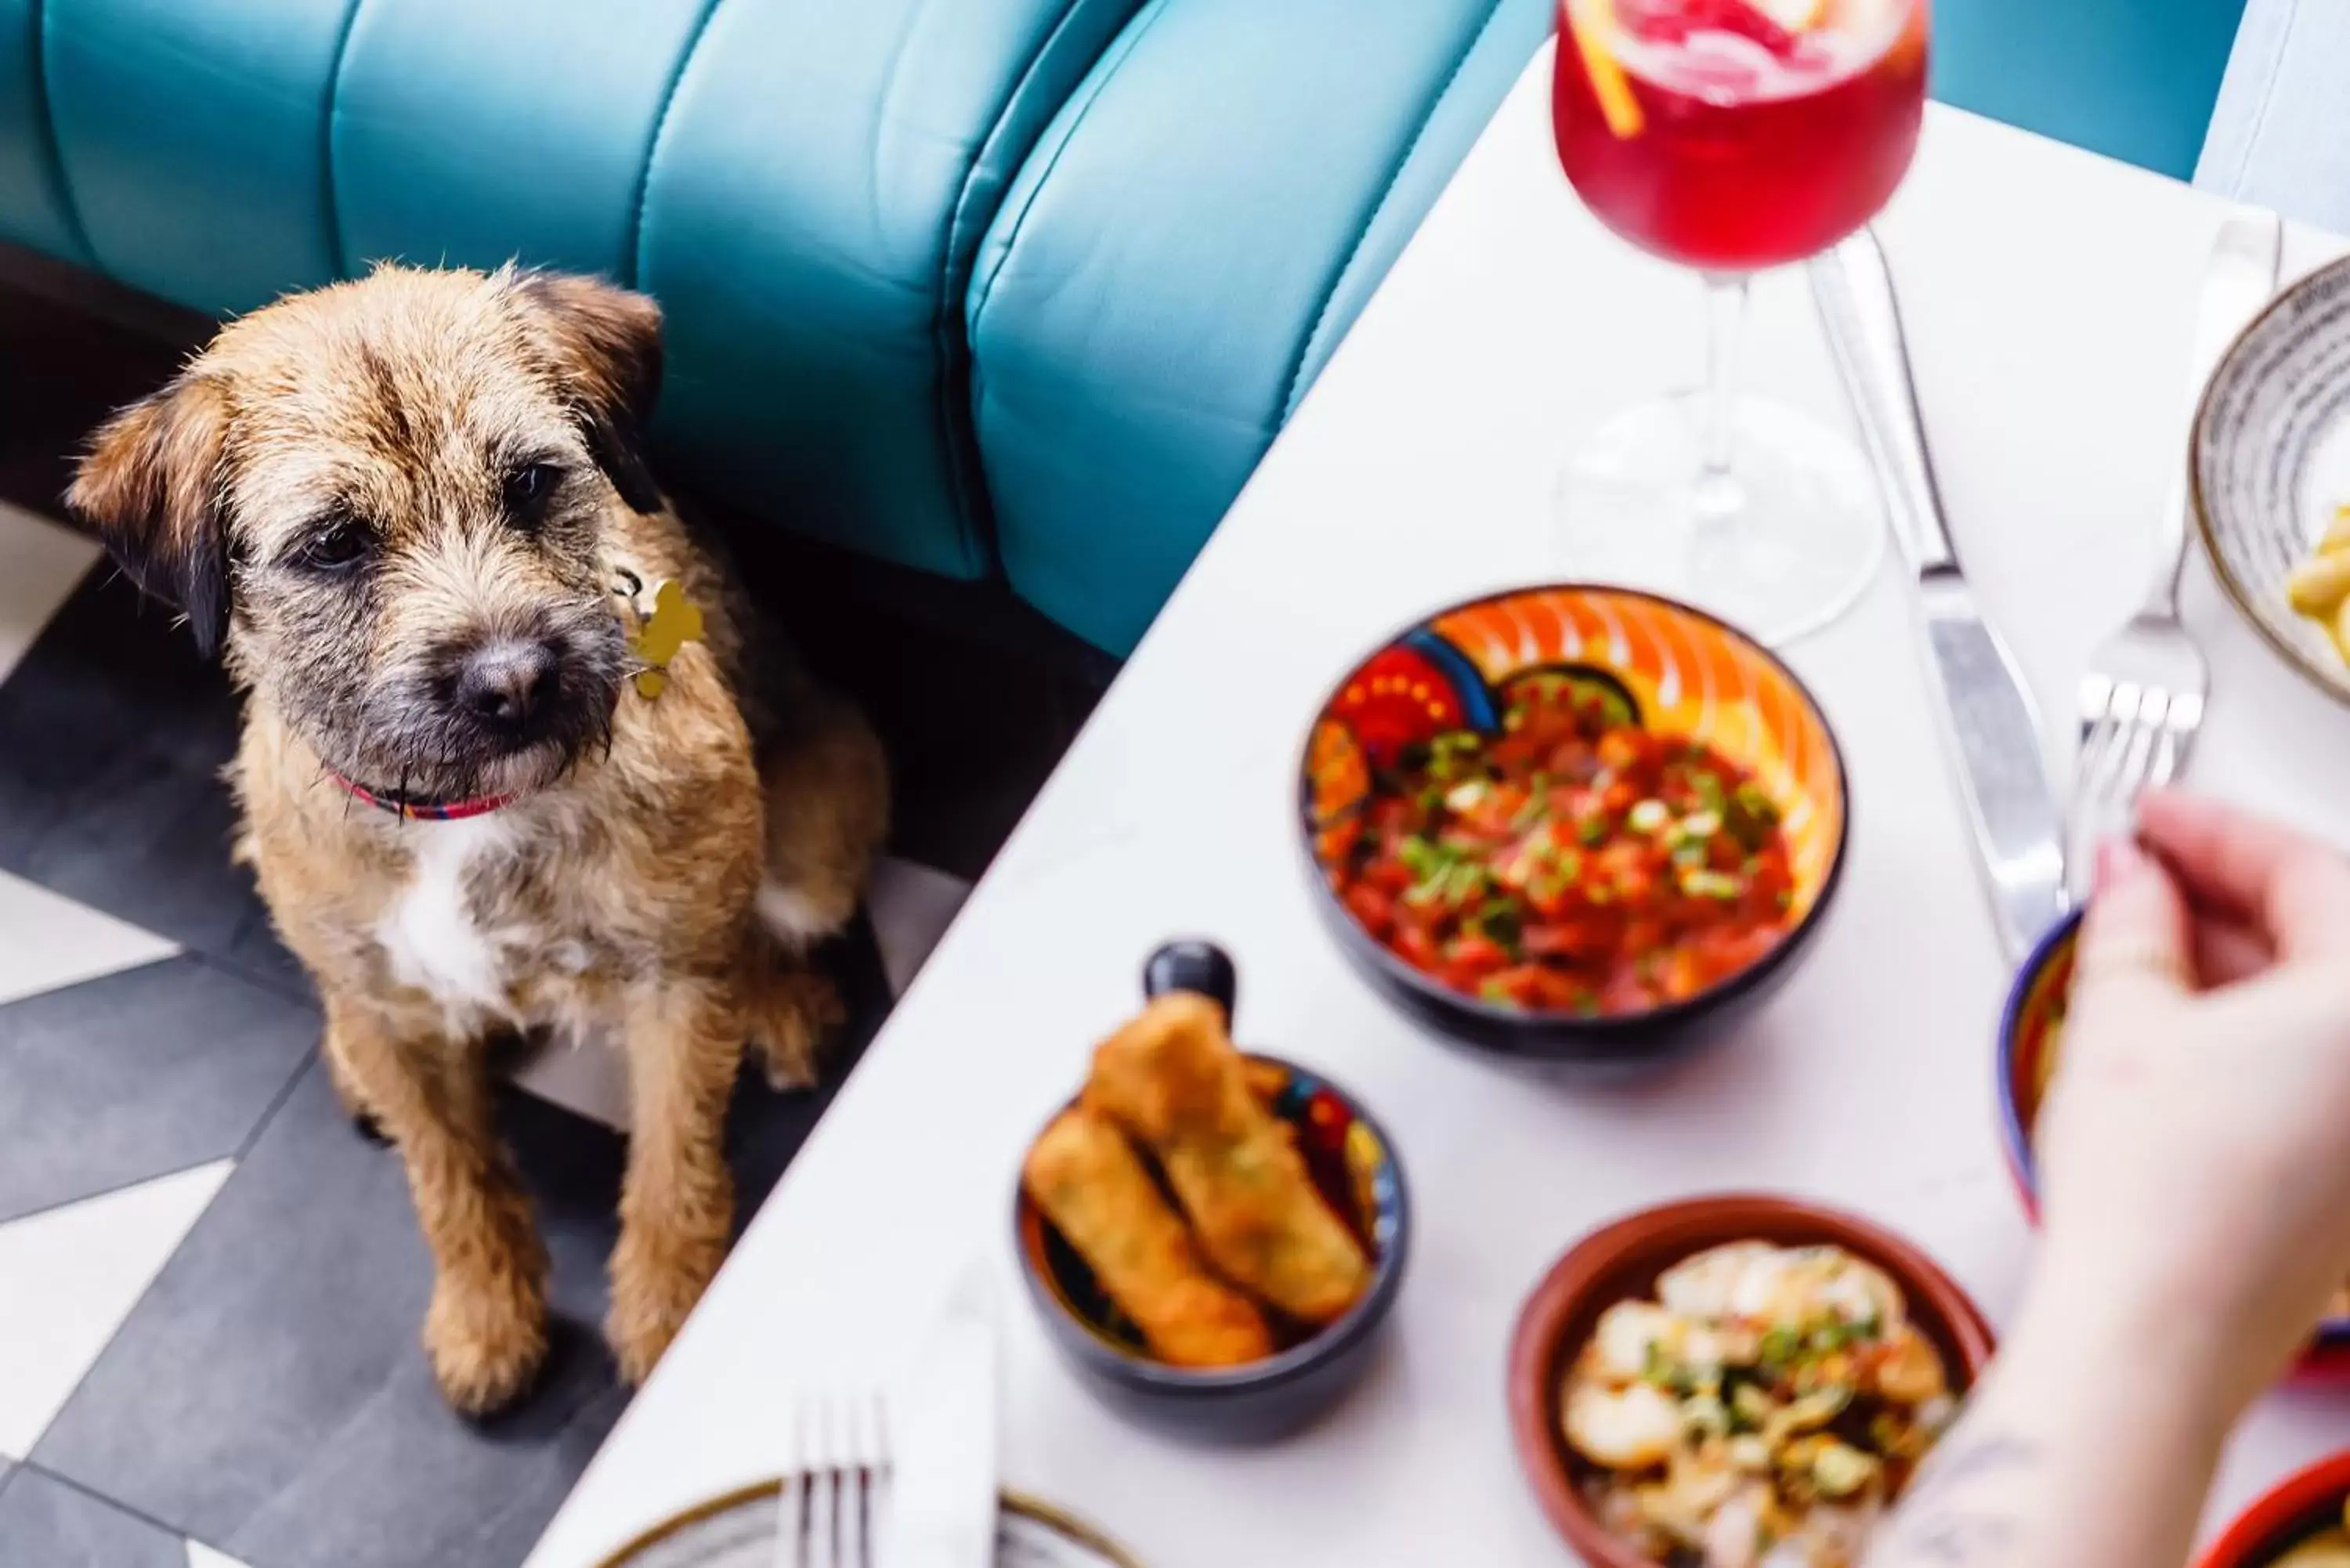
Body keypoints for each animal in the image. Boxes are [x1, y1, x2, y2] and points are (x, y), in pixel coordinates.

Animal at [67, 263, 888, 1419]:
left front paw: (670, 1325)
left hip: (812, 841)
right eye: (334, 544)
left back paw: (781, 1003)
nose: (517, 681)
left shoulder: (675, 996)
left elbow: (674, 1168)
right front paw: (487, 1315)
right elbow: (451, 1175)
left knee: (770, 924)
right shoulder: (388, 1006)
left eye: (534, 481)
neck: (465, 811)